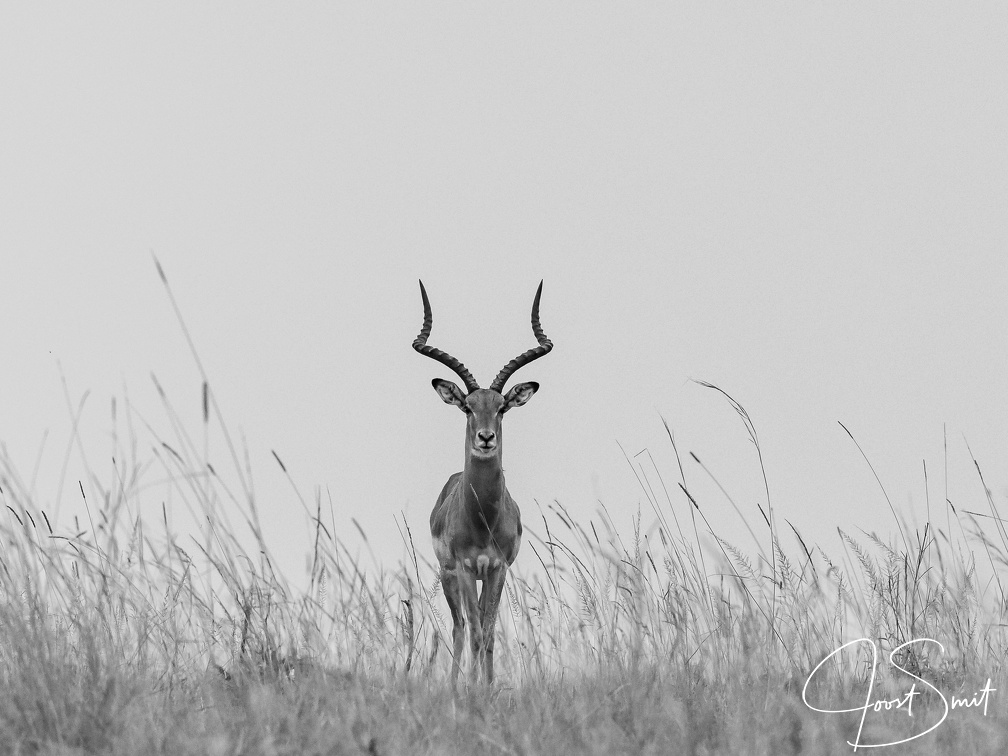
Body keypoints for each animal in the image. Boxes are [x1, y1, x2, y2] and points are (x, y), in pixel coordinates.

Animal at [413, 280, 552, 685]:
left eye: (501, 407)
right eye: (467, 407)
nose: (486, 438)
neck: (482, 516)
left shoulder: (497, 570)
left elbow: (489, 632)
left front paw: (488, 687)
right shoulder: (462, 569)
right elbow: (474, 630)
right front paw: (472, 688)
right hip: (449, 577)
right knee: (460, 627)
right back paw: (456, 684)